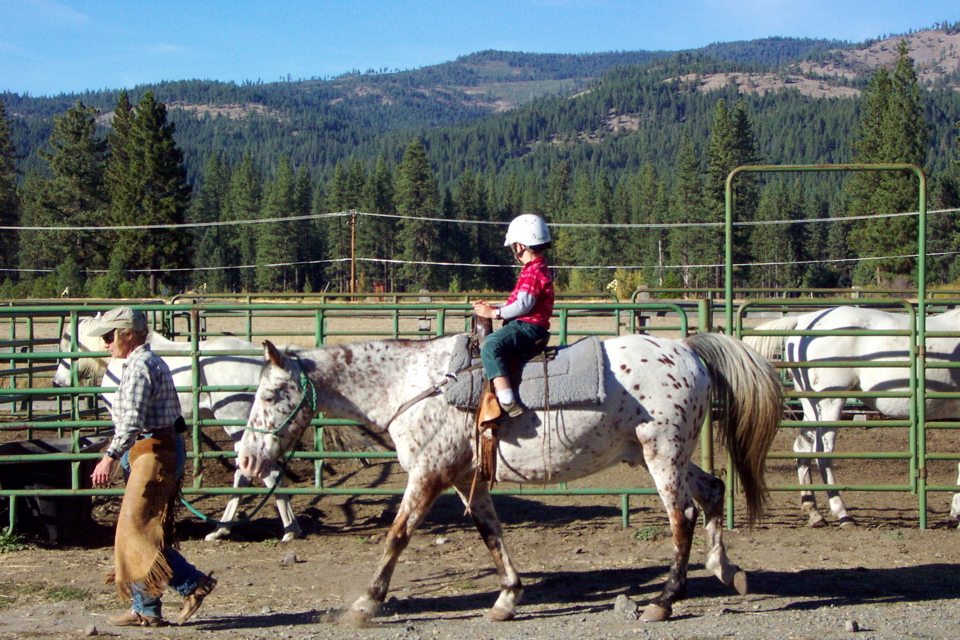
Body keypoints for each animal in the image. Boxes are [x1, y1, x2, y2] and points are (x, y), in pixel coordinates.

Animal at [49, 314, 304, 540]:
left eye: (65, 344)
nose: (57, 382)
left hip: (238, 428)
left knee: (266, 474)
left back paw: (288, 530)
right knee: (246, 475)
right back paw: (222, 530)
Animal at [236, 332, 784, 624]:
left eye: (270, 396)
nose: (245, 460)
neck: (414, 385)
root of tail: (687, 349)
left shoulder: (428, 475)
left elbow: (396, 536)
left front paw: (365, 604)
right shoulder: (465, 478)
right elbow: (491, 534)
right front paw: (507, 597)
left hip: (662, 455)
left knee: (681, 516)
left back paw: (664, 602)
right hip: (666, 456)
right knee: (712, 492)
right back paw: (725, 570)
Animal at [748, 308, 960, 528]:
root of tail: (803, 320)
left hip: (811, 406)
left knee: (802, 448)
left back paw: (814, 513)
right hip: (830, 402)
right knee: (823, 454)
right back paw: (843, 515)